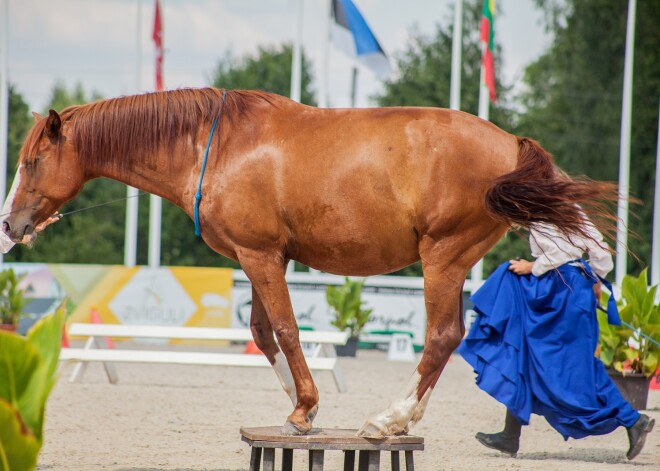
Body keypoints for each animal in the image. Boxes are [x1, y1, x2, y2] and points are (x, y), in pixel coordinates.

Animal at [2, 86, 616, 436]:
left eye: (32, 161)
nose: (9, 225)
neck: (215, 146)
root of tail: (510, 144)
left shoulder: (261, 256)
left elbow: (286, 329)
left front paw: (304, 410)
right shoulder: (255, 259)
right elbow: (261, 333)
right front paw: (303, 406)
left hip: (442, 257)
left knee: (442, 336)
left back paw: (390, 420)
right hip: (453, 261)